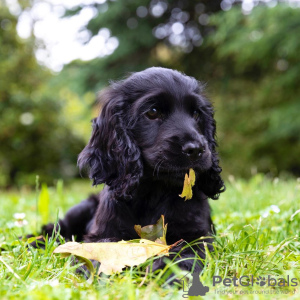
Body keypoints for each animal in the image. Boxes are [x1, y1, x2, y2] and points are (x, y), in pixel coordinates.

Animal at [42, 67, 225, 272]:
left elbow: (183, 255)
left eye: (196, 114)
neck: (154, 191)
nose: (196, 149)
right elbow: (102, 247)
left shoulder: (196, 235)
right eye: (153, 112)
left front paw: (172, 275)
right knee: (54, 229)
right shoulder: (102, 232)